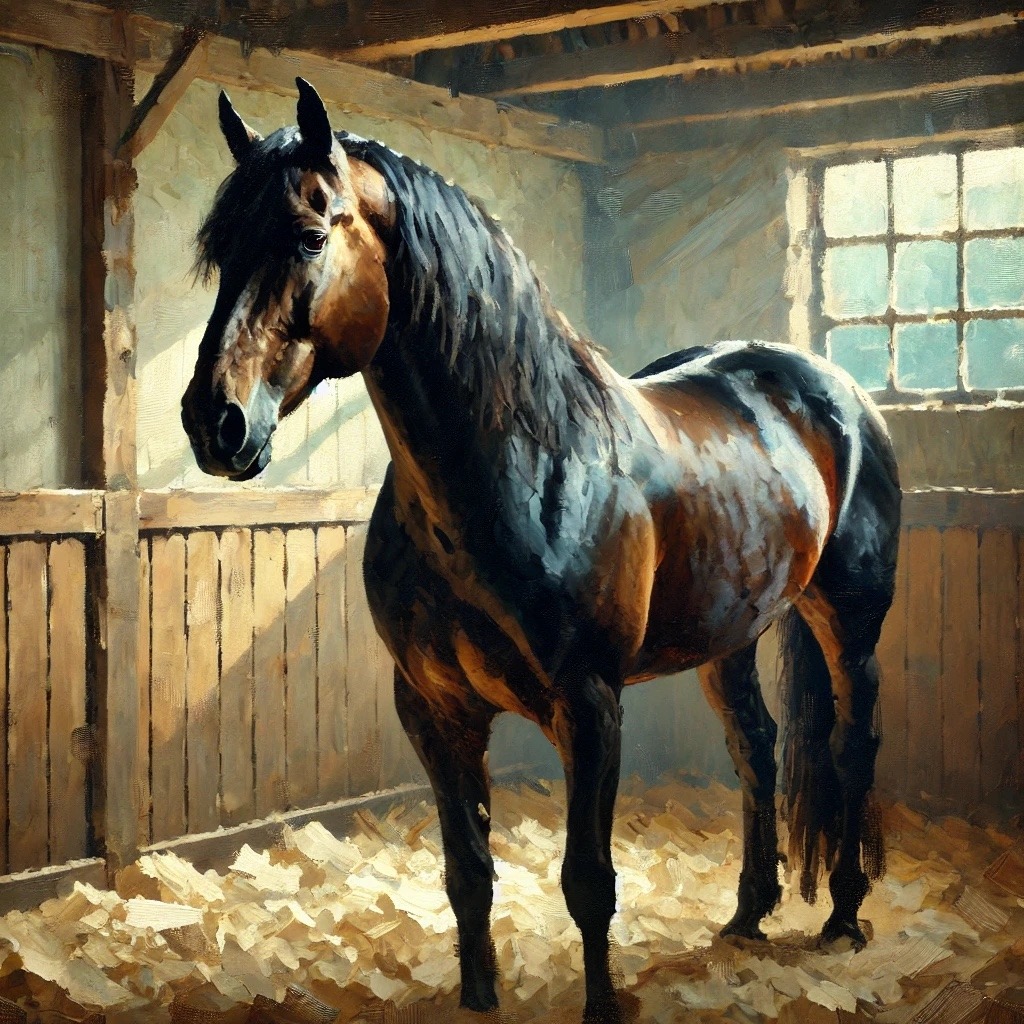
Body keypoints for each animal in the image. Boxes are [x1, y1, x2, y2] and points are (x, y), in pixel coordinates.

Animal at [181, 79, 901, 1022]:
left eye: (308, 234)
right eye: (220, 248)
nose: (215, 423)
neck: (523, 464)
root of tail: (832, 387)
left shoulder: (589, 706)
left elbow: (588, 881)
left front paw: (601, 1005)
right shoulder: (434, 709)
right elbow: (468, 875)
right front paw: (479, 998)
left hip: (849, 623)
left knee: (852, 746)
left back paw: (846, 916)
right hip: (731, 635)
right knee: (758, 745)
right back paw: (749, 914)